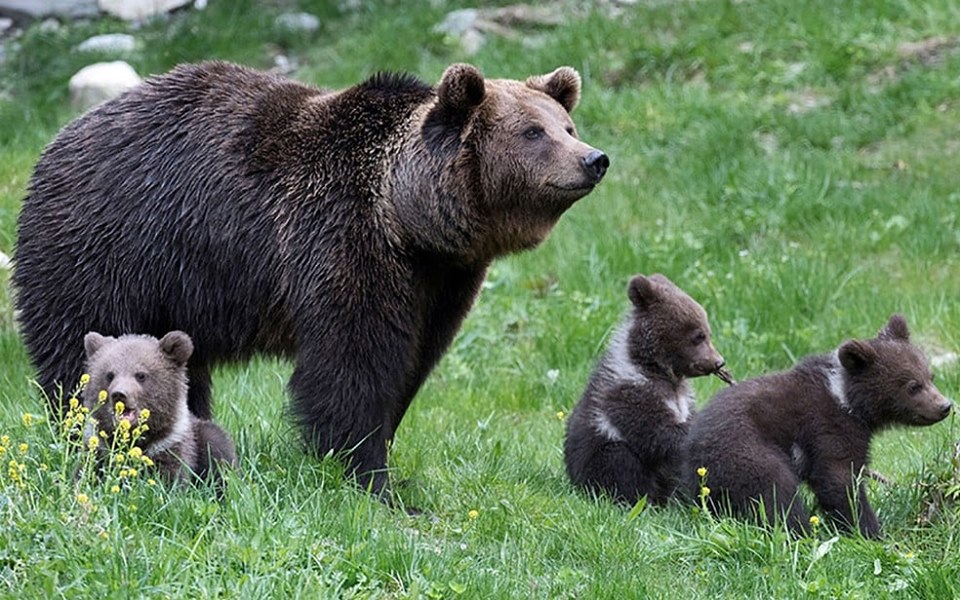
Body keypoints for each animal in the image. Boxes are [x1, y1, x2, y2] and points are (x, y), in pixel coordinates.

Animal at [84, 328, 238, 488]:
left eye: (141, 375)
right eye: (110, 375)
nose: (119, 394)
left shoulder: (170, 445)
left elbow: (171, 478)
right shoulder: (100, 447)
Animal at [564, 276, 728, 506]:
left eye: (708, 333)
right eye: (698, 336)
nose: (719, 362)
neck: (656, 369)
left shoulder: (684, 399)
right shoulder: (630, 391)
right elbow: (656, 432)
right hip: (594, 459)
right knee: (619, 461)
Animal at [688, 314, 948, 540]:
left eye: (930, 376)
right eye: (913, 386)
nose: (945, 406)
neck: (847, 399)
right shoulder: (828, 427)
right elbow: (838, 478)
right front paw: (869, 530)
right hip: (746, 449)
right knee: (775, 490)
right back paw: (800, 531)